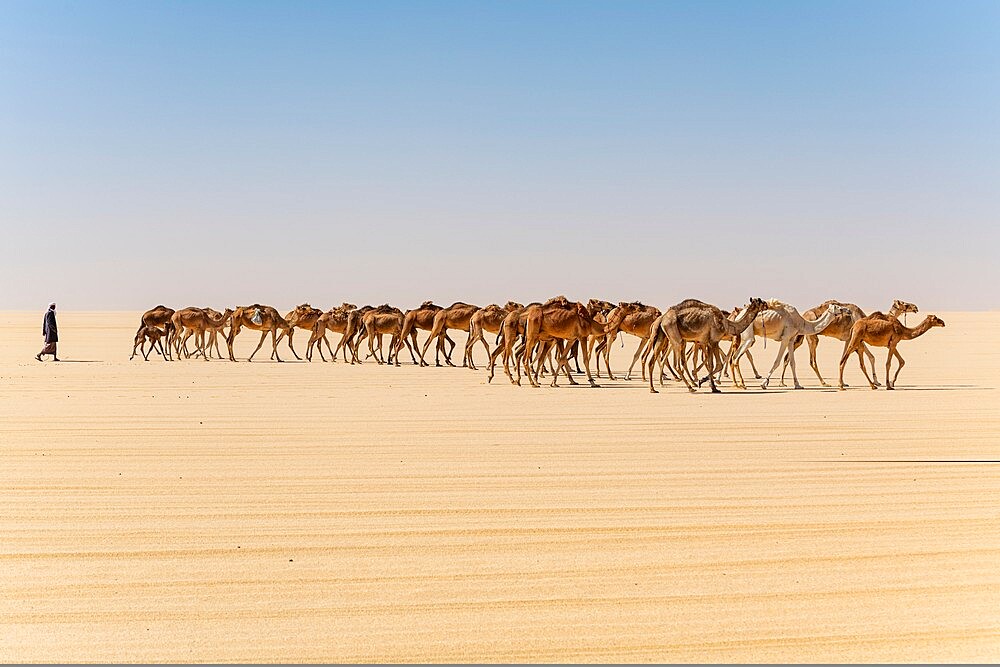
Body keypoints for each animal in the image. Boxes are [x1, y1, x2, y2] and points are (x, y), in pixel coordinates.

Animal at [780, 298, 920, 386]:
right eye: (904, 304)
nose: (915, 307)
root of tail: (803, 315)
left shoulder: (849, 338)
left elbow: (860, 357)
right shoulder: (856, 338)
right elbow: (868, 357)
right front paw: (875, 382)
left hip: (800, 337)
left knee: (787, 357)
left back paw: (782, 382)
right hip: (812, 337)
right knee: (812, 361)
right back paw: (824, 383)